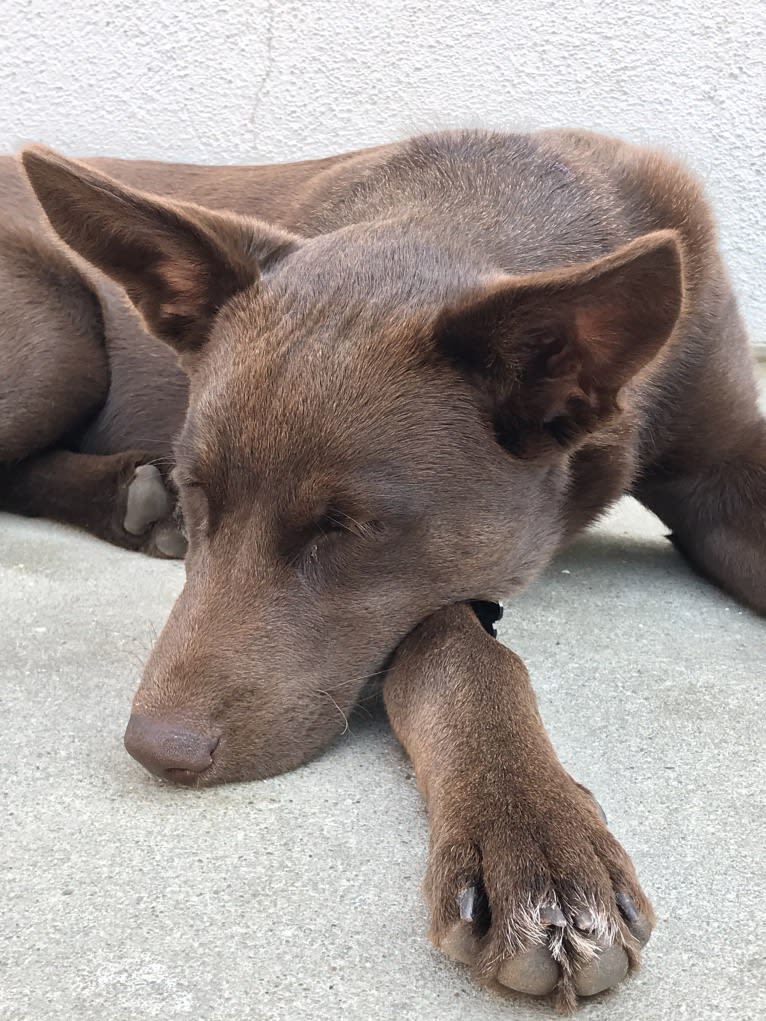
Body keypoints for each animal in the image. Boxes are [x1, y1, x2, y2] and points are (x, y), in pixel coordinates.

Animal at [0, 129, 763, 1012]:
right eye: (198, 489)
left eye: (346, 529)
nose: (159, 749)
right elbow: (461, 655)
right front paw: (535, 841)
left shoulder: (725, 471)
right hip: (58, 332)